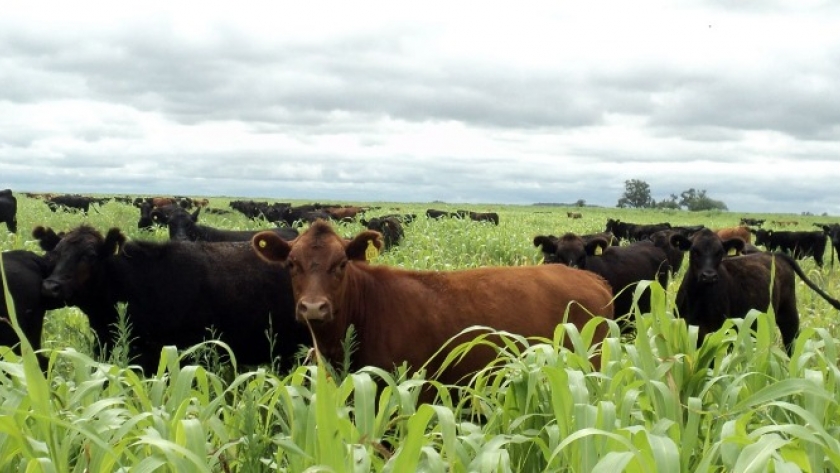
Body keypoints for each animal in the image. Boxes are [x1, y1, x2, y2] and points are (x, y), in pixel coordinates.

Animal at [672, 227, 840, 352]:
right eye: (694, 251)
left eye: (719, 252)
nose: (709, 276)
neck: (698, 298)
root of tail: (777, 254)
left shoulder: (721, 331)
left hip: (789, 314)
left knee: (791, 341)